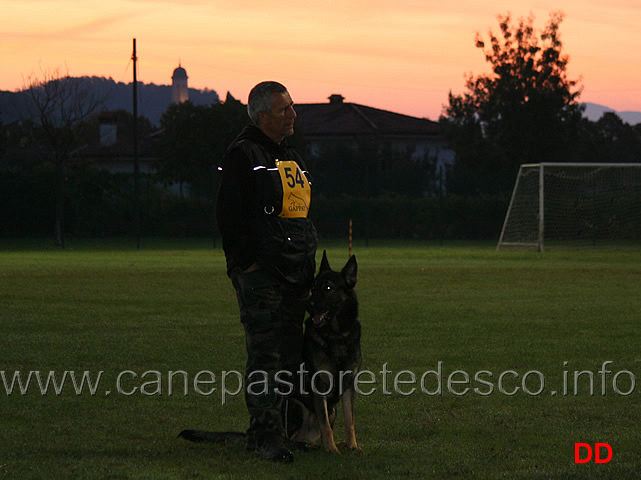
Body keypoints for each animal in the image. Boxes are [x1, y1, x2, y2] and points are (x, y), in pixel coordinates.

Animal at [180, 253, 360, 456]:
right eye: (313, 288)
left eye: (328, 288)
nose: (309, 305)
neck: (337, 334)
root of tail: (249, 436)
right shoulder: (319, 387)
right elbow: (325, 425)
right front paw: (331, 449)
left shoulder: (348, 385)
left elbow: (349, 420)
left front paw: (352, 445)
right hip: (295, 404)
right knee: (290, 437)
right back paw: (303, 445)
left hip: (332, 409)